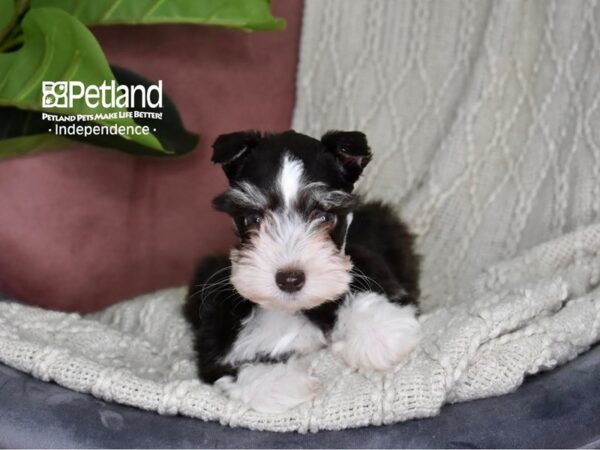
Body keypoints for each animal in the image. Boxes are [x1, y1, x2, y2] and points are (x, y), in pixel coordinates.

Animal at [184, 128, 422, 414]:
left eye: (323, 217)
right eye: (253, 219)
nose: (290, 279)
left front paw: (379, 333)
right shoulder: (217, 343)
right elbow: (234, 367)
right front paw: (281, 384)